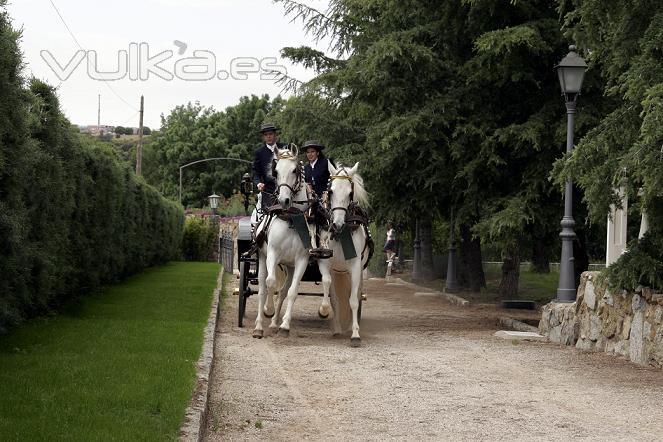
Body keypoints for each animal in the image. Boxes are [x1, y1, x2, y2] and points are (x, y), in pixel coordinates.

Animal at [253, 147, 334, 336]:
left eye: (294, 170)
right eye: (275, 171)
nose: (284, 200)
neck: (291, 218)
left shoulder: (301, 259)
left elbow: (292, 292)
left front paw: (284, 325)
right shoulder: (272, 254)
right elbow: (270, 283)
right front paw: (268, 309)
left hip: (289, 265)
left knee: (283, 291)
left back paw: (274, 323)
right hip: (262, 258)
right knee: (262, 289)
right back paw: (259, 325)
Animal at [318, 161, 370, 348]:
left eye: (349, 193)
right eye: (331, 191)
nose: (337, 224)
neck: (341, 234)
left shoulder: (355, 267)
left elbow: (353, 300)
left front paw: (355, 334)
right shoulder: (325, 261)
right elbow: (327, 286)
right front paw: (324, 310)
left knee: (355, 295)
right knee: (335, 297)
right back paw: (337, 328)